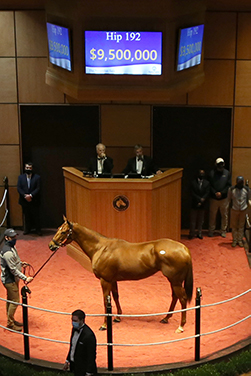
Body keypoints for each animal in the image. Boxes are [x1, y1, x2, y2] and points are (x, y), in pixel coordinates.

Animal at [49, 216, 194, 334]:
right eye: (58, 229)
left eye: (63, 231)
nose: (51, 245)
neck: (101, 248)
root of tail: (184, 249)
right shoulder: (112, 280)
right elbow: (116, 297)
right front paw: (118, 317)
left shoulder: (105, 280)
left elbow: (105, 301)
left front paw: (104, 325)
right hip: (173, 280)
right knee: (175, 297)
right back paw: (166, 318)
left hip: (175, 281)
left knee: (182, 299)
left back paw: (181, 326)